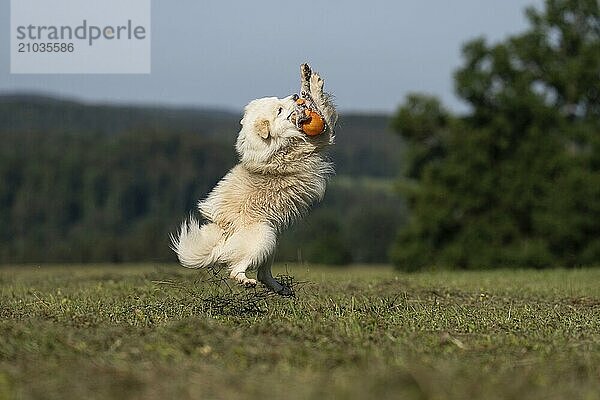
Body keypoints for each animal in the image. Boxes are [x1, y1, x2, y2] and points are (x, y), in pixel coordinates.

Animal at [171, 65, 338, 294]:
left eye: (280, 100)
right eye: (279, 110)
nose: (294, 97)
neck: (273, 143)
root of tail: (223, 233)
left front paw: (306, 79)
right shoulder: (321, 137)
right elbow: (320, 105)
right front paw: (312, 84)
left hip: (271, 241)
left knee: (262, 273)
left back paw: (282, 289)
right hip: (263, 236)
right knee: (236, 270)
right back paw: (246, 282)